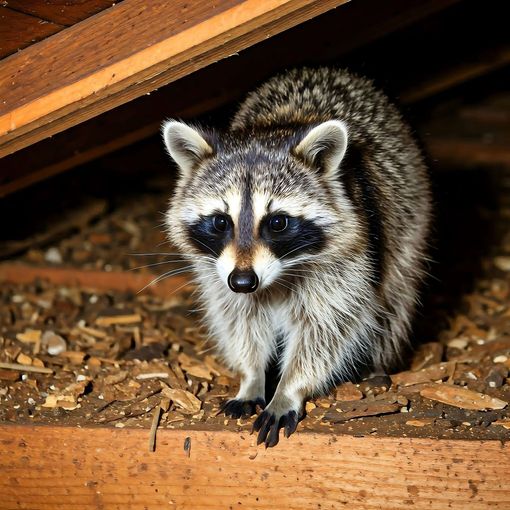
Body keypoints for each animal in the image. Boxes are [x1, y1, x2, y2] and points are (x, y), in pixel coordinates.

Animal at [162, 66, 430, 446]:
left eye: (277, 222)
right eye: (220, 222)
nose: (243, 281)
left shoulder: (350, 259)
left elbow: (327, 328)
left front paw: (288, 389)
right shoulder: (218, 272)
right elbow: (239, 318)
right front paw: (250, 376)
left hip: (408, 217)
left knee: (395, 293)